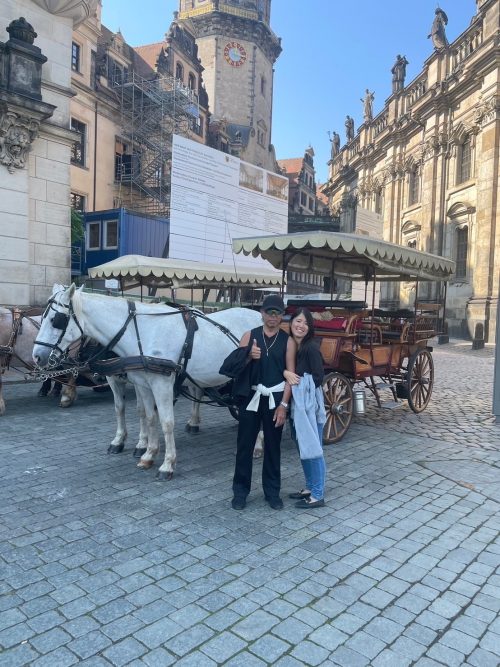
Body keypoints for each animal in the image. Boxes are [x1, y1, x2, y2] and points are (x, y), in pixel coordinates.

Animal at [32, 286, 262, 480]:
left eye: (56, 320)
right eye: (42, 318)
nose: (37, 356)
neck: (142, 332)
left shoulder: (162, 384)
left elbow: (166, 422)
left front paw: (167, 464)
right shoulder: (142, 383)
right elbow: (148, 416)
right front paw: (148, 454)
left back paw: (257, 446)